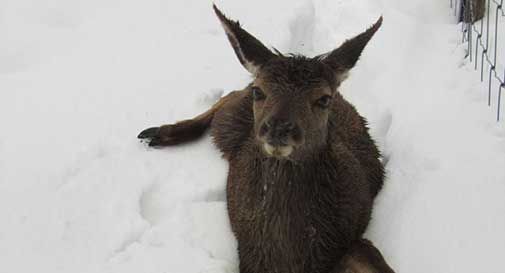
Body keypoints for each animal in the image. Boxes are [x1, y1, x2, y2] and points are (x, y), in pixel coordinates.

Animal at [138, 4, 394, 272]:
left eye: (324, 98)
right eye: (259, 91)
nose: (278, 128)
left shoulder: (346, 239)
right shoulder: (249, 255)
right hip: (230, 119)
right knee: (226, 98)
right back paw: (161, 132)